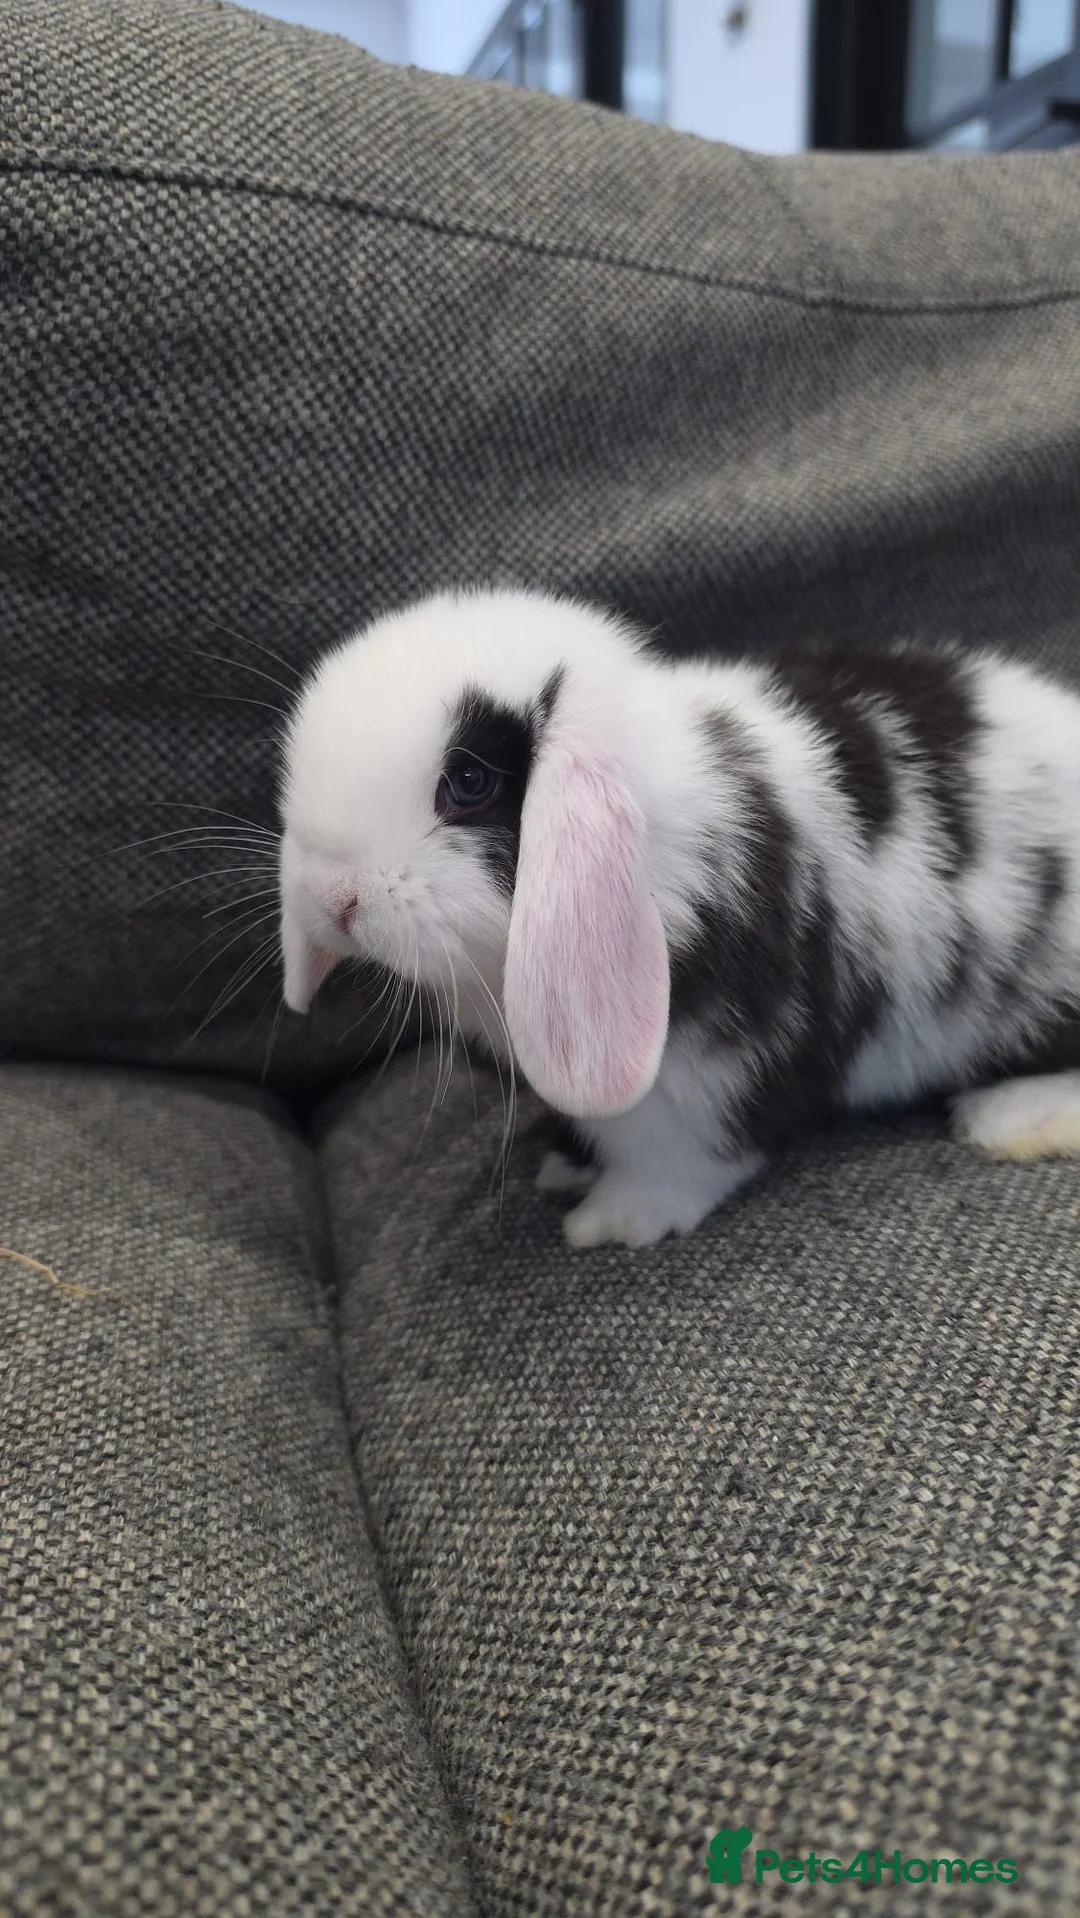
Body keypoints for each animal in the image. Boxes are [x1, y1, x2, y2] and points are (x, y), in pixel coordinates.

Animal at [278, 585, 1080, 1248]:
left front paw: (614, 1222)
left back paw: (1011, 1119)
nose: (335, 898)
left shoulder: (717, 1070)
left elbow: (686, 1155)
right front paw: (568, 1166)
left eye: (470, 782)